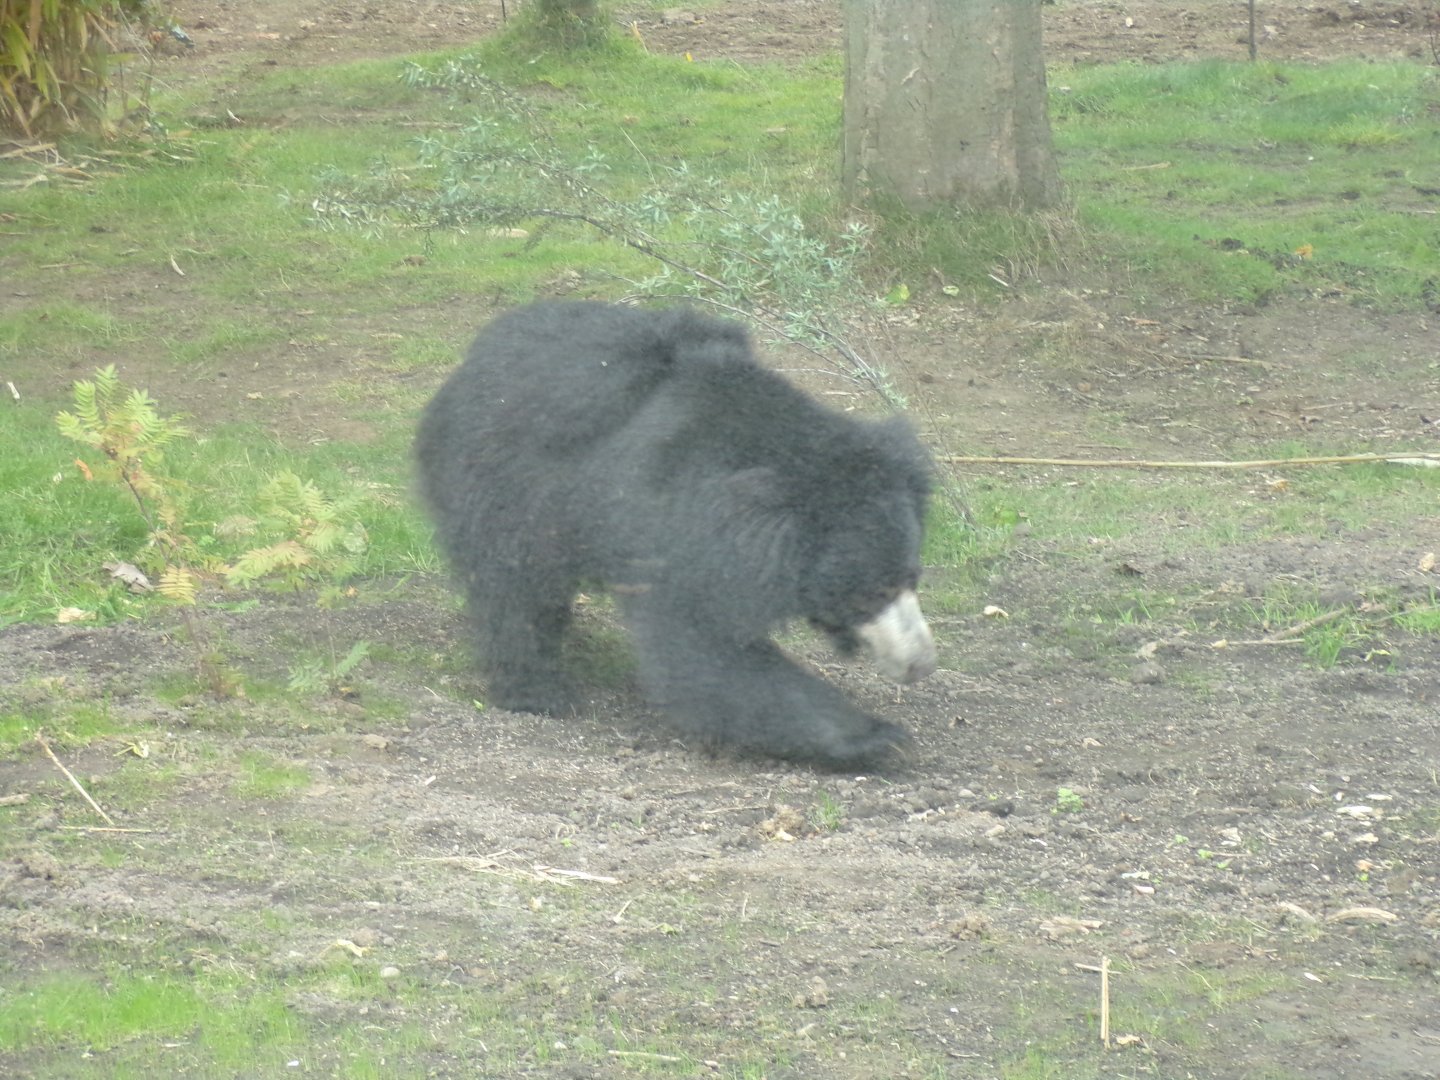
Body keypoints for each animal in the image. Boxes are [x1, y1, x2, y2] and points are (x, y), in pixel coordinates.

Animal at [414, 301, 936, 767]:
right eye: (873, 592)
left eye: (913, 579)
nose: (921, 663)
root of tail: (471, 361)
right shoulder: (677, 531)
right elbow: (707, 649)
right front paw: (877, 738)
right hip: (503, 484)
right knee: (513, 591)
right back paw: (537, 692)